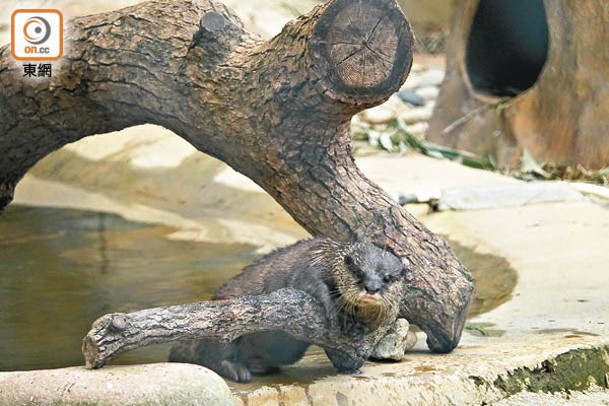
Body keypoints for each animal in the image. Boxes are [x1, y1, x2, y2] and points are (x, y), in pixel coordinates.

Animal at [167, 236, 404, 382]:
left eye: (387, 278)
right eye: (358, 272)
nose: (371, 288)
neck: (328, 258)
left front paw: (355, 328)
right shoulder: (309, 265)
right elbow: (314, 286)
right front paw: (334, 311)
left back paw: (258, 366)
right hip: (224, 320)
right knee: (212, 354)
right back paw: (238, 370)